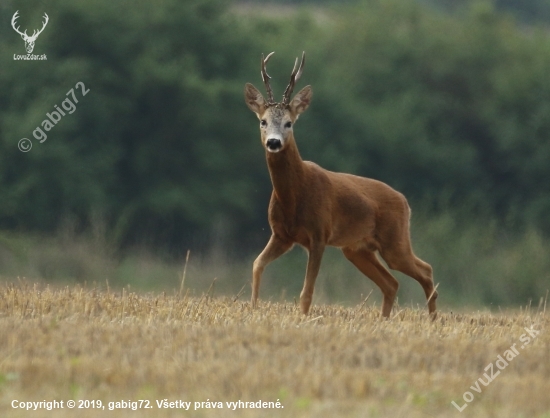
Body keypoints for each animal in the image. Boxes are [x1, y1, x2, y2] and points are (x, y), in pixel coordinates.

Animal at [246, 53, 440, 320]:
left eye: (289, 123)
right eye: (263, 121)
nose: (274, 143)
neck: (294, 195)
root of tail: (404, 201)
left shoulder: (319, 233)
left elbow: (307, 291)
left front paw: (303, 317)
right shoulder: (282, 235)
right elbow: (257, 264)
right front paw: (253, 308)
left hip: (395, 240)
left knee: (426, 270)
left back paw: (433, 320)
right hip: (357, 249)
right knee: (392, 283)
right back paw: (385, 319)